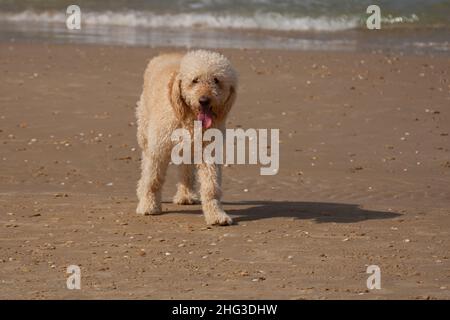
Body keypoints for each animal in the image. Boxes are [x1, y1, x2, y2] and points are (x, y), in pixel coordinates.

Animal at [134, 50, 237, 225]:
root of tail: (164, 54)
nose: (204, 100)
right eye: (194, 80)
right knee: (146, 163)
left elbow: (211, 186)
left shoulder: (208, 151)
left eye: (216, 80)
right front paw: (148, 205)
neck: (190, 118)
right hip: (145, 132)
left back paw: (186, 195)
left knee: (186, 171)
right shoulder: (159, 149)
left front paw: (216, 214)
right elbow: (153, 179)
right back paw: (142, 190)